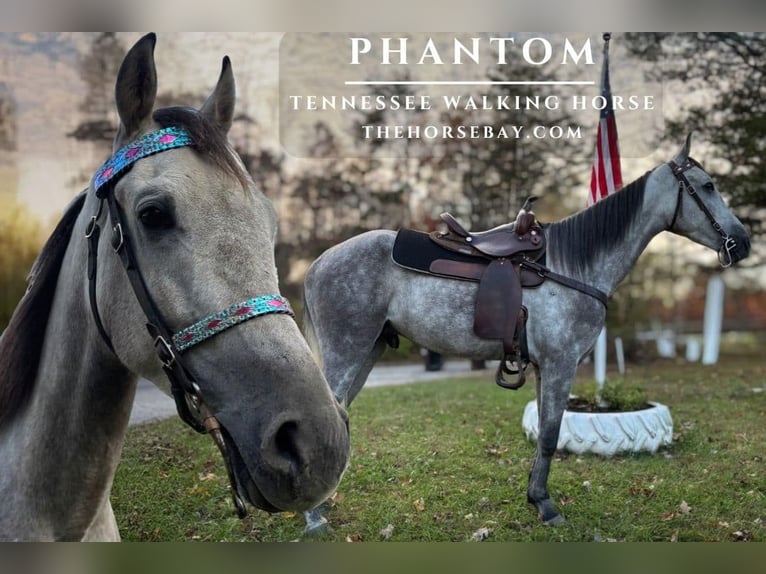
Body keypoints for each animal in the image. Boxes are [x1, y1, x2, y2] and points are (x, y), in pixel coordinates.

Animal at [300, 135, 751, 533]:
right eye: (707, 186)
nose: (742, 242)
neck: (573, 266)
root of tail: (318, 263)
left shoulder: (542, 367)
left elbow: (545, 437)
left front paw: (535, 498)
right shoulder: (560, 364)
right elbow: (551, 435)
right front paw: (547, 507)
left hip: (369, 349)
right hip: (349, 350)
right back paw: (314, 517)